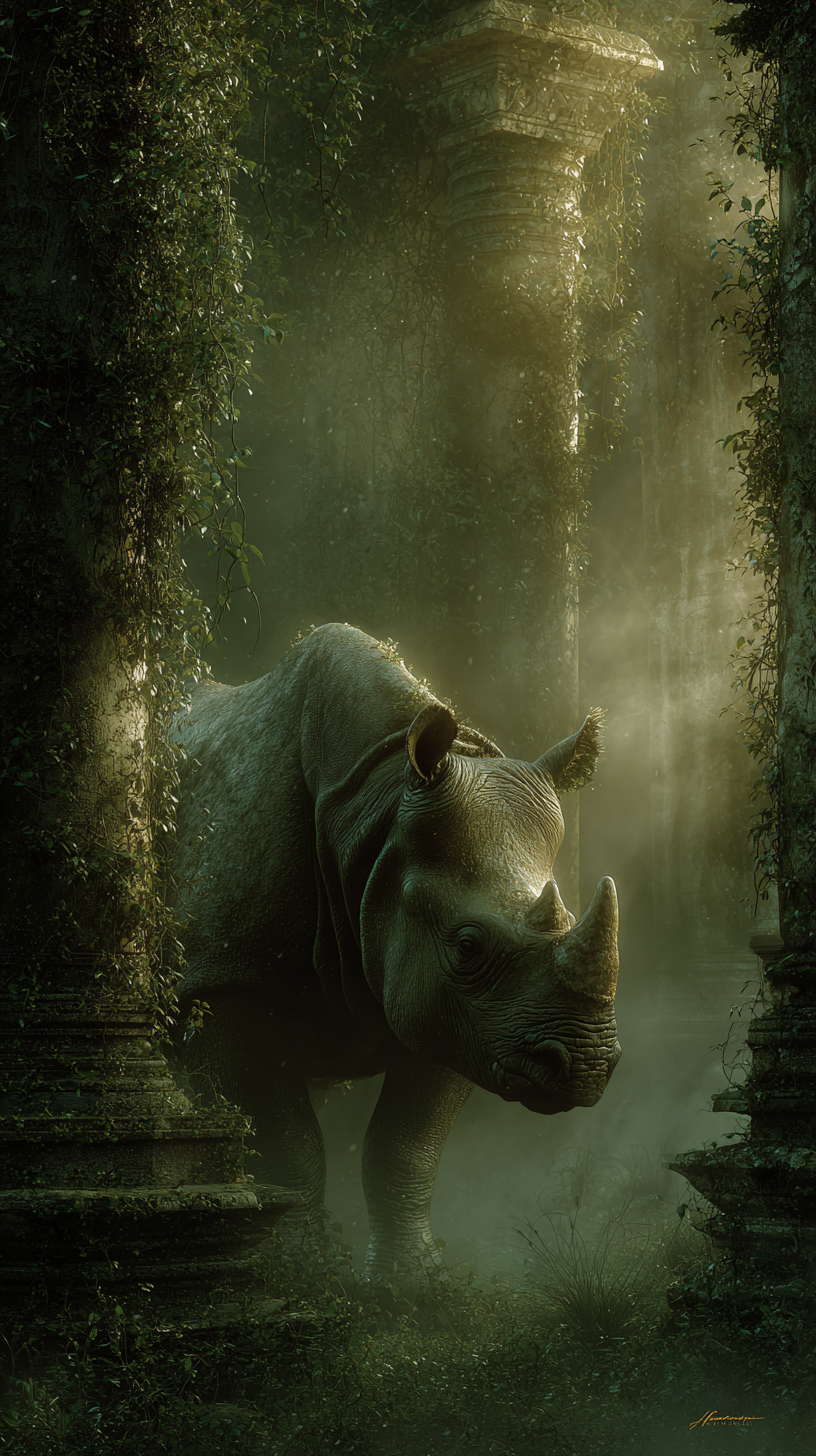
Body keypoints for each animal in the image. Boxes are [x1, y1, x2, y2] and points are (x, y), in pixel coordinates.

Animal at [174, 624, 620, 1279]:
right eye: (467, 945)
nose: (584, 1066)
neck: (372, 814)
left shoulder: (462, 1016)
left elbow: (403, 1146)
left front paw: (412, 1286)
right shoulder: (228, 979)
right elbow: (287, 1145)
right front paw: (301, 1273)